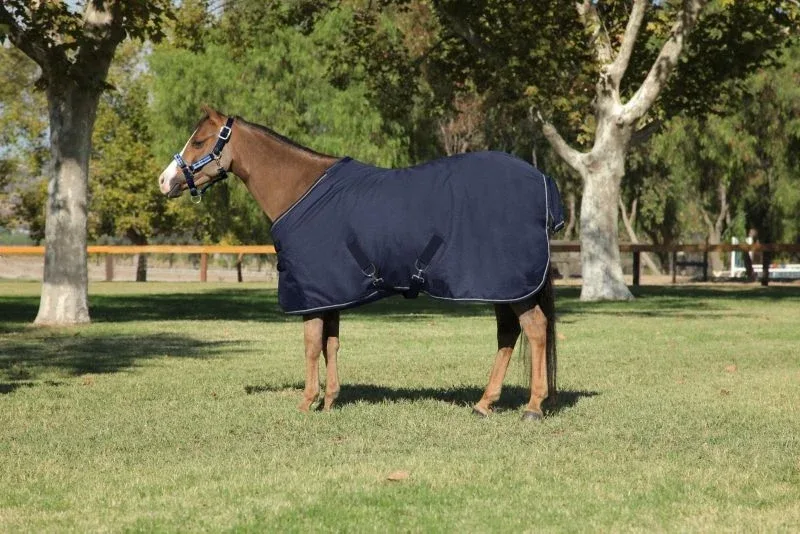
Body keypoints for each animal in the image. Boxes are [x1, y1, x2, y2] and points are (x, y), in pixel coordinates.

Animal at [158, 106, 564, 421]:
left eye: (198, 142)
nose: (164, 181)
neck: (300, 190)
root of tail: (542, 180)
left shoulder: (311, 294)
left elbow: (311, 344)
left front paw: (307, 403)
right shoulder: (329, 293)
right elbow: (331, 343)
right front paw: (329, 401)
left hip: (512, 285)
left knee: (535, 330)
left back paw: (533, 407)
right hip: (504, 287)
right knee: (508, 335)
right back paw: (484, 403)